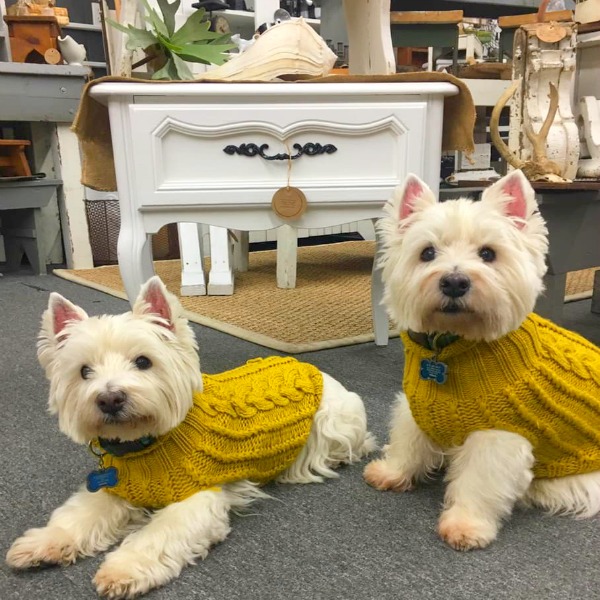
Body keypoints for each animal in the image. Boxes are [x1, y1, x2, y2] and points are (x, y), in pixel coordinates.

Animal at [7, 278, 372, 596]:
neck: (146, 444)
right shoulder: (117, 488)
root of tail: (312, 368)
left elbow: (157, 535)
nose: (110, 399)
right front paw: (42, 543)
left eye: (143, 361)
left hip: (331, 428)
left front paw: (122, 569)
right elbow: (77, 515)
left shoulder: (197, 497)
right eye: (84, 371)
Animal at [364, 171, 596, 552]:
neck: (450, 346)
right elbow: (408, 441)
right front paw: (392, 472)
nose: (455, 282)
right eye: (427, 252)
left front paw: (466, 525)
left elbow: (479, 482)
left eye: (488, 254)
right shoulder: (417, 404)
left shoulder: (497, 438)